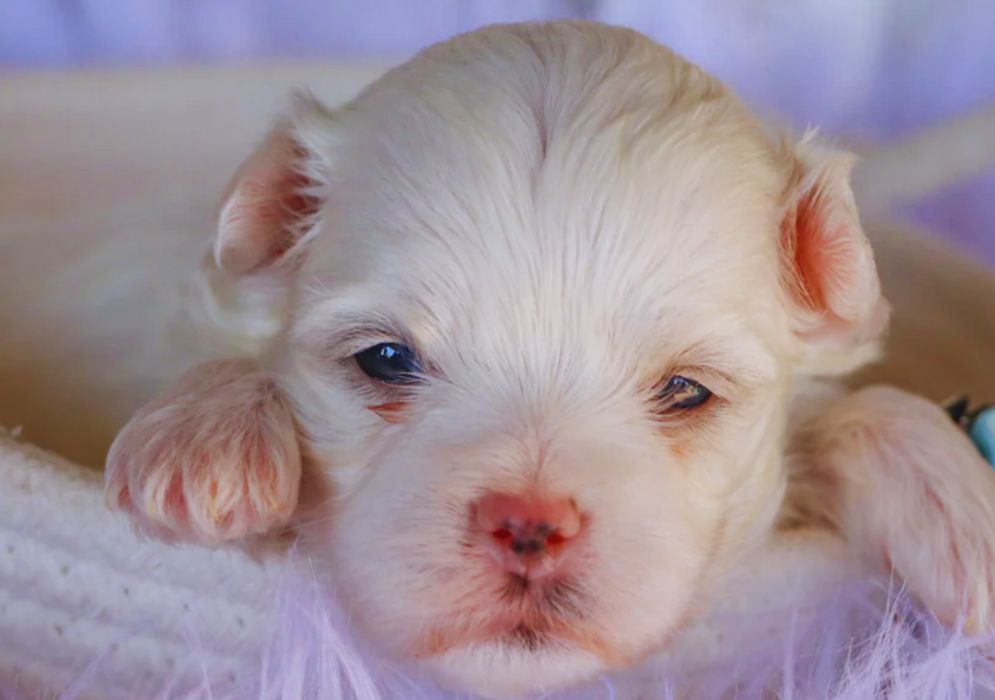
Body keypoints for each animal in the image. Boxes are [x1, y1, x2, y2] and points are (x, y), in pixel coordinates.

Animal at [103, 23, 995, 700]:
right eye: (385, 359)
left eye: (685, 390)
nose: (527, 525)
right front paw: (203, 439)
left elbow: (856, 409)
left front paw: (963, 509)